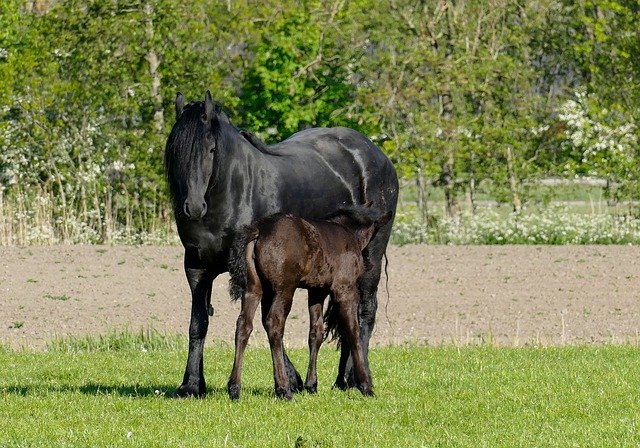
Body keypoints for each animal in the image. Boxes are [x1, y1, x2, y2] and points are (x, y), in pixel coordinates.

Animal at [228, 206, 392, 400]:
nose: (370, 264)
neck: (349, 232)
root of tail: (259, 231)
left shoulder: (316, 291)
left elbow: (316, 333)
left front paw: (311, 385)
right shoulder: (346, 289)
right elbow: (353, 331)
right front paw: (366, 385)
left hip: (254, 288)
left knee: (243, 325)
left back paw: (234, 389)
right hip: (285, 288)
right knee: (274, 323)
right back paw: (283, 389)